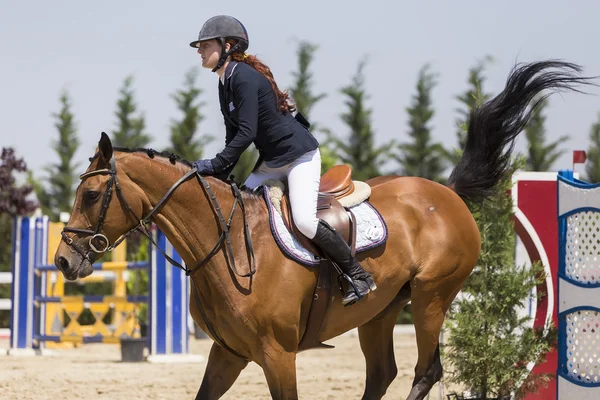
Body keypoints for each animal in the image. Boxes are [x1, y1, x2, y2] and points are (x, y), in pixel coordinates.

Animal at [54, 60, 592, 400]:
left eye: (93, 196)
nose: (63, 260)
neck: (224, 246)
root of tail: (447, 194)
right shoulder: (228, 353)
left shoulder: (277, 355)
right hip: (382, 311)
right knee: (383, 374)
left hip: (431, 297)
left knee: (425, 371)